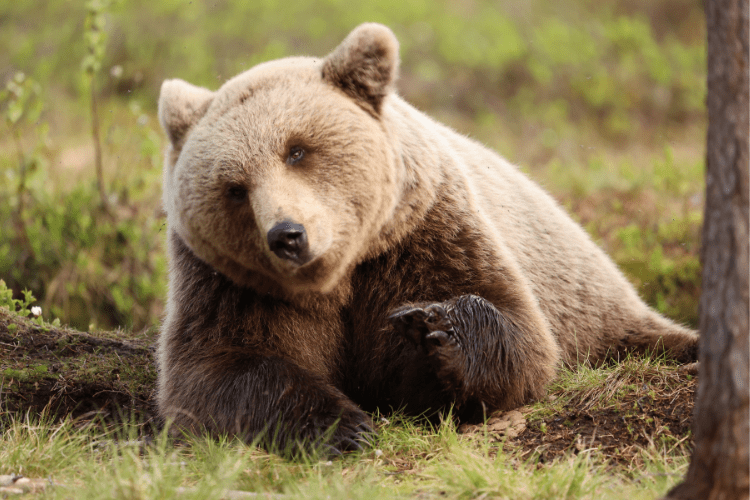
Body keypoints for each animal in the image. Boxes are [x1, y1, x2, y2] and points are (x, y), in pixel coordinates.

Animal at [156, 23, 698, 454]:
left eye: (297, 150)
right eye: (235, 187)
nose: (287, 236)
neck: (340, 275)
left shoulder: (424, 235)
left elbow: (518, 335)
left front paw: (436, 326)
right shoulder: (232, 286)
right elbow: (215, 371)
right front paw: (344, 427)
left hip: (587, 297)